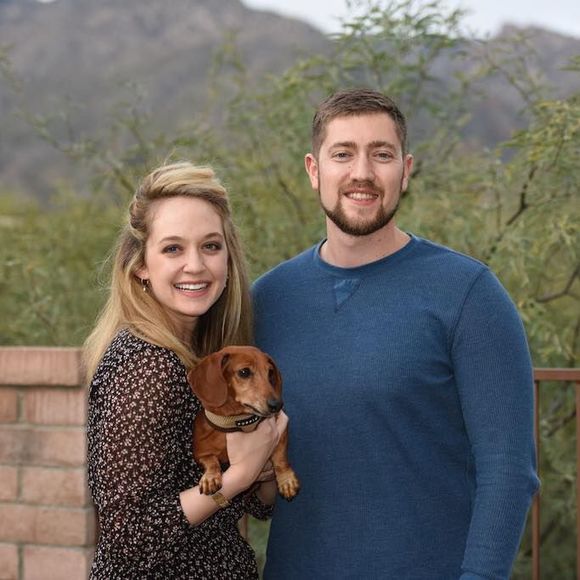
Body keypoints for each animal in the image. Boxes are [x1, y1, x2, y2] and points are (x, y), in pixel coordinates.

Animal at [187, 345, 300, 501]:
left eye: (270, 372)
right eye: (244, 372)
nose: (277, 405)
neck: (236, 421)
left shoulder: (281, 429)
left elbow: (280, 457)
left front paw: (287, 480)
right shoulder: (200, 453)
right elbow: (211, 461)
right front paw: (210, 478)